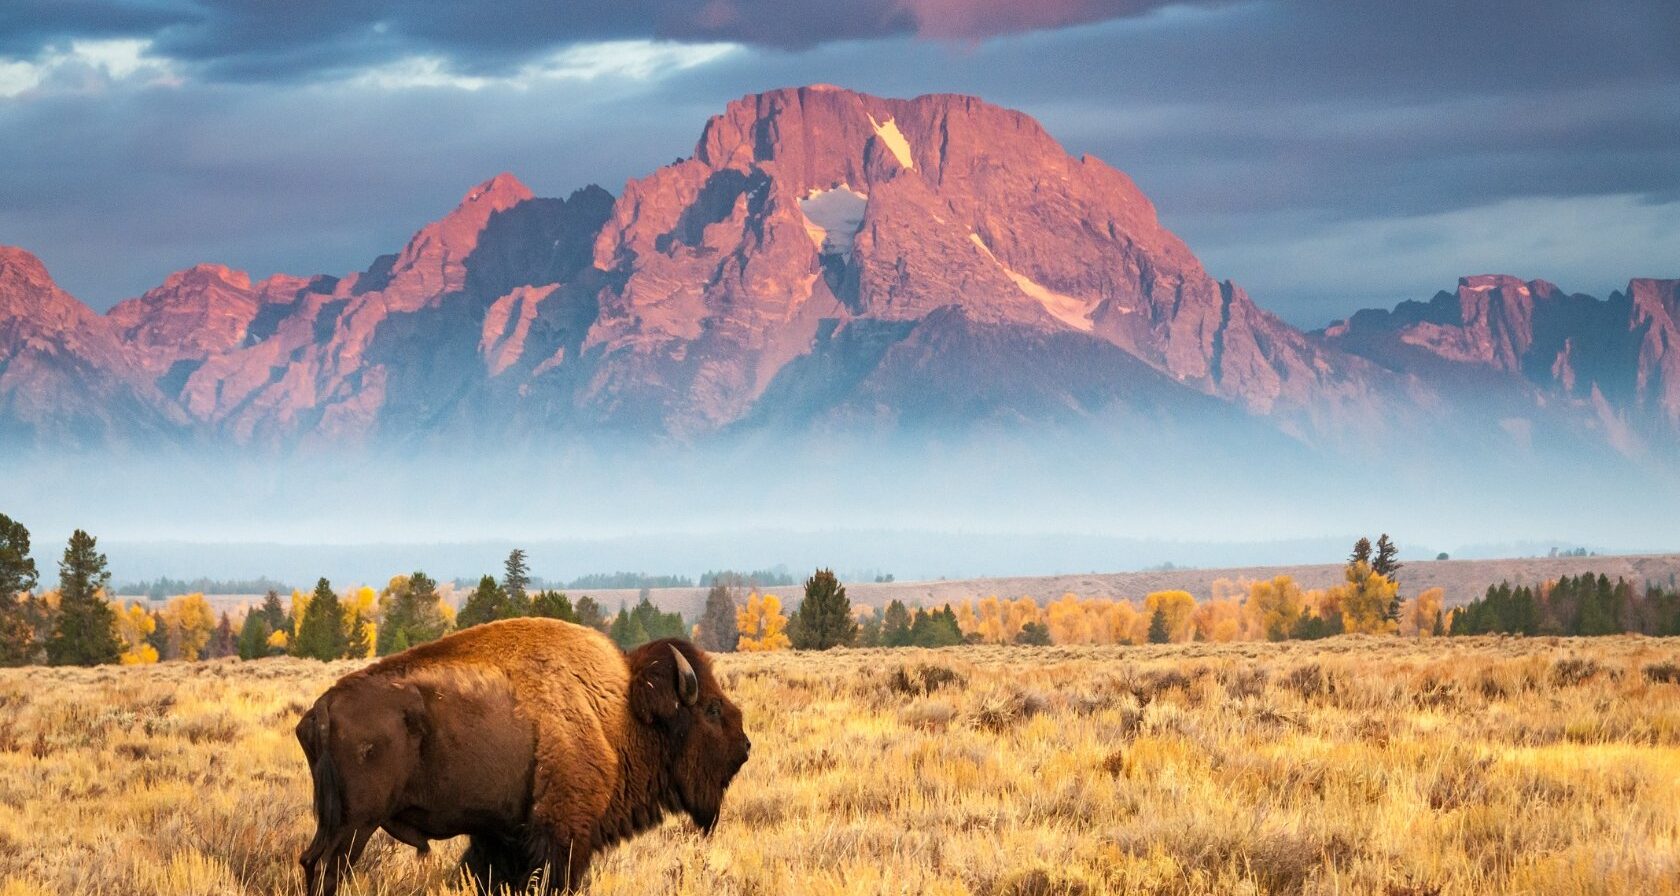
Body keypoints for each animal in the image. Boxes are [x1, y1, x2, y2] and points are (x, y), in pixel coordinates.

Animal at [297, 615, 756, 894]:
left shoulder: (502, 836)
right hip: (355, 825)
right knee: (329, 869)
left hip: (335, 822)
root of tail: (323, 708)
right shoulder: (563, 836)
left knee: (311, 862)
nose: (745, 746)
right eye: (712, 710)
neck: (619, 711)